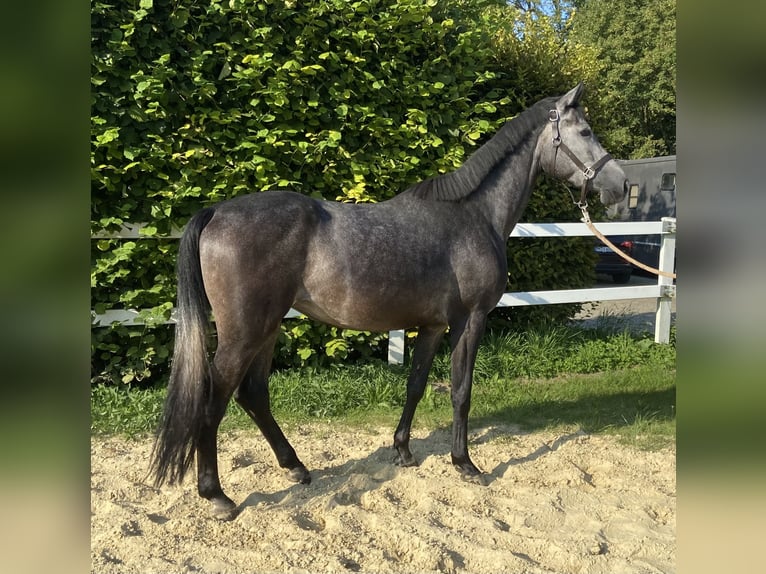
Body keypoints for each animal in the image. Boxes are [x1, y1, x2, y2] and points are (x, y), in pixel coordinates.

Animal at [150, 84, 632, 520]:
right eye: (585, 131)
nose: (622, 186)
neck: (474, 216)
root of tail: (216, 212)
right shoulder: (471, 319)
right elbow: (461, 390)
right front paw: (465, 464)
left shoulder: (433, 325)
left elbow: (416, 384)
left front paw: (403, 450)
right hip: (244, 333)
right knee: (214, 400)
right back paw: (217, 496)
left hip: (267, 328)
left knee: (254, 394)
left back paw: (296, 468)